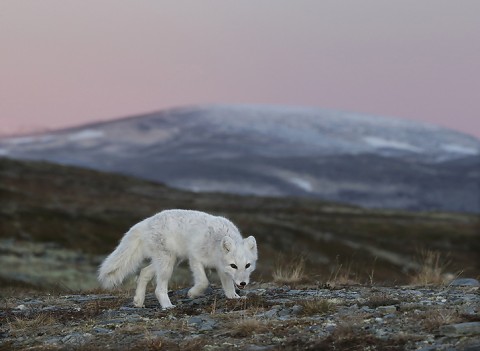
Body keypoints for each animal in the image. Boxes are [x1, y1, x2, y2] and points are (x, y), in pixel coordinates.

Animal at [95, 210, 256, 310]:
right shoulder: (195, 258)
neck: (215, 243)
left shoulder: (222, 268)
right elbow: (204, 282)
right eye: (234, 265)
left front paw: (234, 297)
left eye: (247, 265)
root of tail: (146, 221)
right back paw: (167, 306)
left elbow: (228, 286)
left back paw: (138, 302)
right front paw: (192, 294)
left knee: (144, 272)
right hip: (167, 263)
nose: (243, 283)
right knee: (159, 288)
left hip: (171, 260)